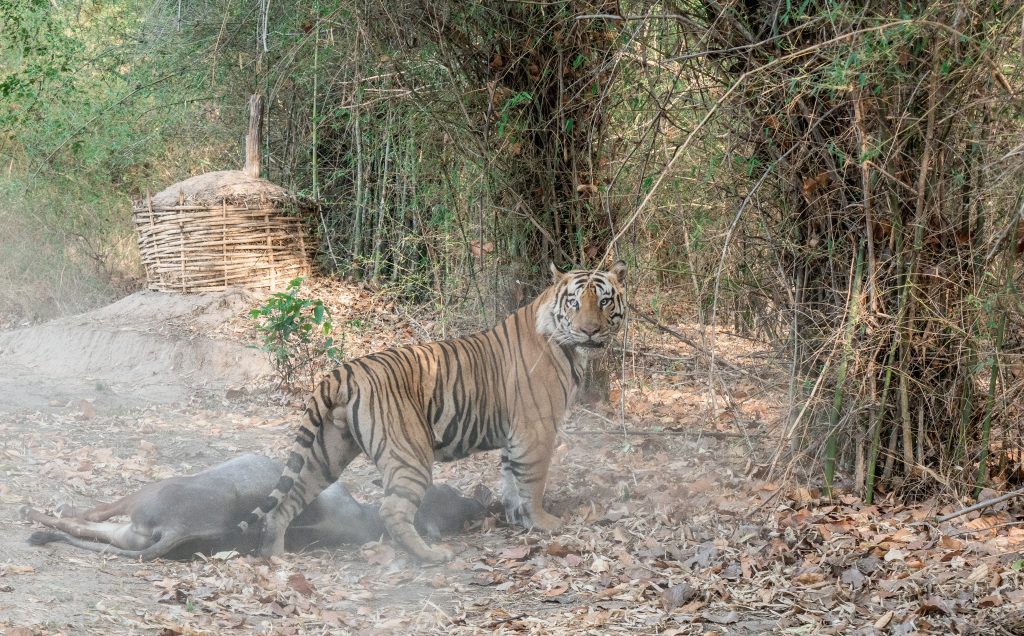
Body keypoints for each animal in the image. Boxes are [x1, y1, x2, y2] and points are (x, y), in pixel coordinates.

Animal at [241, 260, 622, 557]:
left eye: (604, 301)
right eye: (574, 303)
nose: (590, 331)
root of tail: (343, 371)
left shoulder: (515, 434)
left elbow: (511, 478)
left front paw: (519, 519)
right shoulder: (536, 430)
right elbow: (533, 481)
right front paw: (544, 523)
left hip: (326, 452)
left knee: (287, 502)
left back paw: (273, 554)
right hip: (409, 452)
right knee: (391, 509)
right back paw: (430, 555)